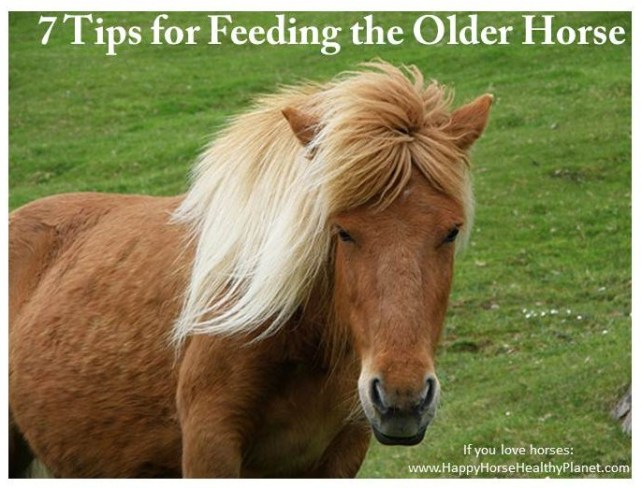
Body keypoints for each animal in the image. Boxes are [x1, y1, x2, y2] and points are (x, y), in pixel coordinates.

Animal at [9, 62, 492, 478]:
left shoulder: (343, 452)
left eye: (451, 231)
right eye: (341, 231)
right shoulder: (210, 447)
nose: (403, 399)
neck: (303, 343)